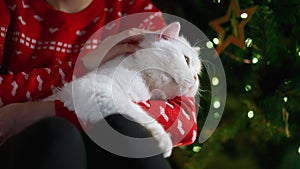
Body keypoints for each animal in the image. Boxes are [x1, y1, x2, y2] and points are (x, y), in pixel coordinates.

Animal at [47, 21, 202, 158]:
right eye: (186, 60)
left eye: (198, 72)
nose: (196, 78)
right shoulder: (95, 89)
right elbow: (135, 111)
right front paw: (163, 140)